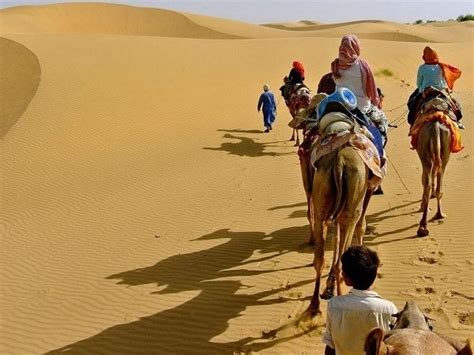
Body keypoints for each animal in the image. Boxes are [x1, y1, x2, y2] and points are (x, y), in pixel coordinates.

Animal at [308, 146, 374, 316]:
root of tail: (340, 162)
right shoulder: (369, 189)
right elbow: (361, 226)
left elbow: (335, 239)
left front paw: (328, 287)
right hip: (352, 205)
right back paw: (341, 297)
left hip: (322, 191)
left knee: (320, 258)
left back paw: (314, 305)